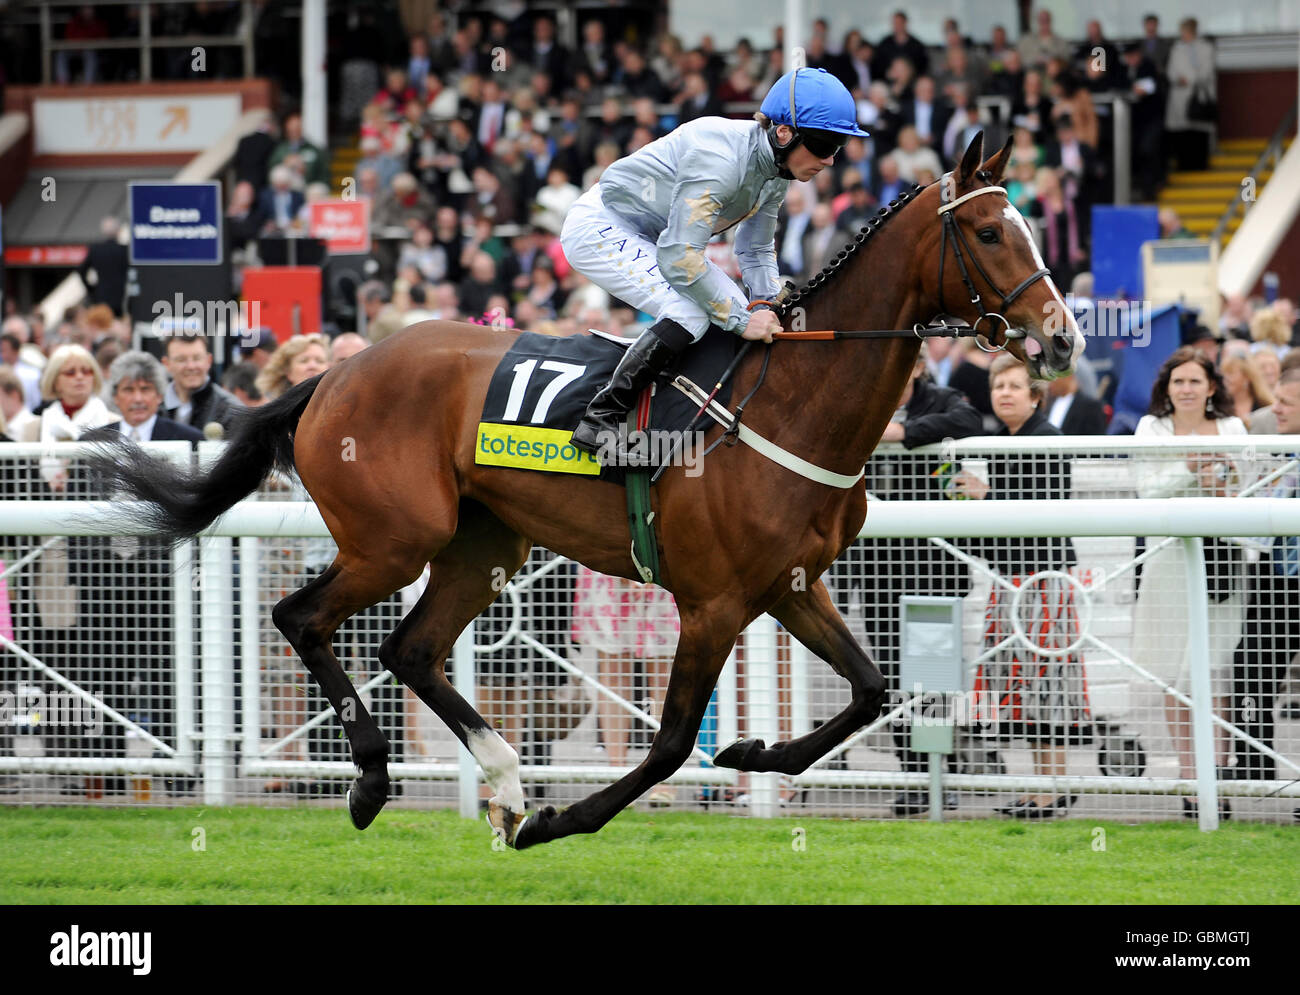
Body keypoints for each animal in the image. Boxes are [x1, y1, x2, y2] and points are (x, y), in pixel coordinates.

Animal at [91, 132, 1081, 848]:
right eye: (989, 232)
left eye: (1033, 227)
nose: (1065, 336)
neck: (793, 400)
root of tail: (335, 372)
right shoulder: (714, 600)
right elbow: (673, 741)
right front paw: (567, 817)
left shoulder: (790, 585)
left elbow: (871, 689)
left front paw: (753, 746)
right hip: (394, 538)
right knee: (303, 617)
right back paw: (377, 777)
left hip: (484, 545)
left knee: (411, 647)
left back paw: (502, 784)